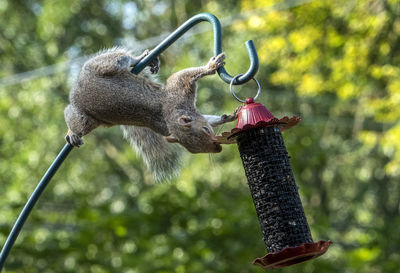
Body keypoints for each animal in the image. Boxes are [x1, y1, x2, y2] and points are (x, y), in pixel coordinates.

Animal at [64, 48, 239, 181]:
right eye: (194, 150)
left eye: (206, 130)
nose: (218, 148)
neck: (171, 117)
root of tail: (76, 88)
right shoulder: (178, 91)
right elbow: (182, 75)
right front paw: (211, 66)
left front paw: (227, 117)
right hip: (104, 68)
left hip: (94, 117)